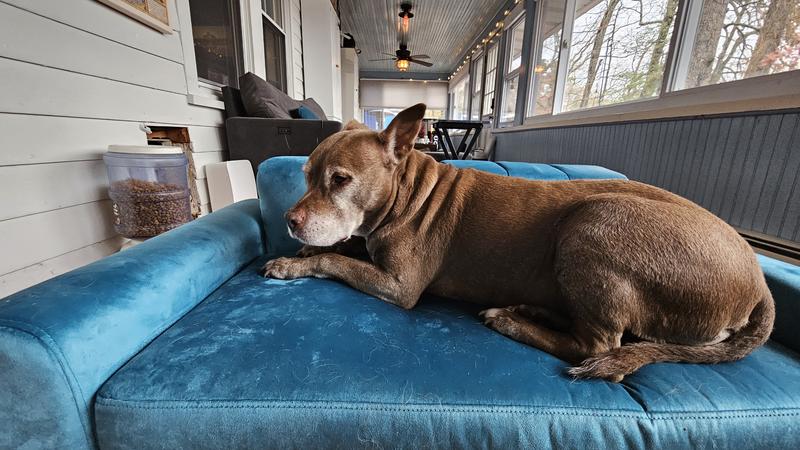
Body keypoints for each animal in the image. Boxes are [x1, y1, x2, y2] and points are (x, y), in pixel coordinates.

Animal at [262, 103, 775, 382]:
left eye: (341, 180)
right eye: (306, 175)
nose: (289, 221)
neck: (406, 192)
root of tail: (760, 284)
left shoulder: (398, 285)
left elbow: (338, 262)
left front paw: (292, 263)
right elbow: (343, 247)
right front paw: (306, 249)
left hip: (594, 221)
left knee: (599, 347)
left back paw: (511, 322)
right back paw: (529, 310)